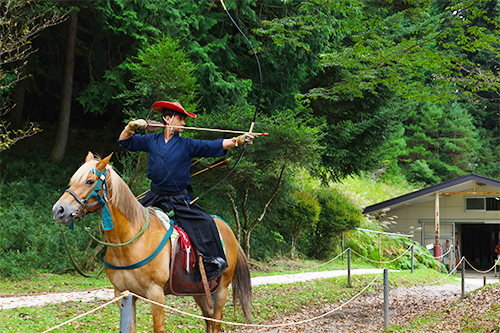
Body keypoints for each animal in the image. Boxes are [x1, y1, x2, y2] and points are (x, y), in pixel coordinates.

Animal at [52, 152, 252, 330]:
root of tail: (227, 227)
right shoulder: (123, 294)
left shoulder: (156, 294)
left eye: (90, 181)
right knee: (209, 320)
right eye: (72, 181)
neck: (129, 242)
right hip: (200, 290)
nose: (59, 210)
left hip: (222, 288)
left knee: (216, 321)